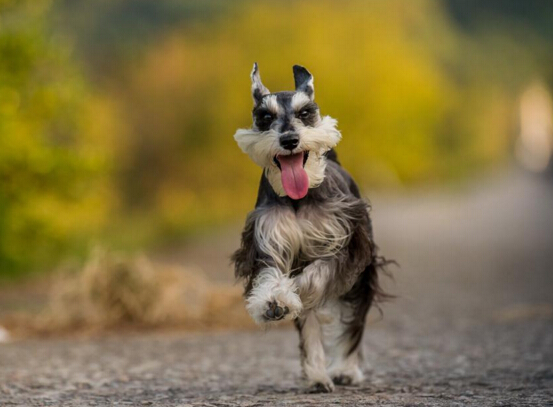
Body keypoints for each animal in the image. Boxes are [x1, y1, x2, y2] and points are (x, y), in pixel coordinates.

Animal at [231, 64, 386, 396]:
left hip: (362, 276)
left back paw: (344, 370)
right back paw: (317, 375)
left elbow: (317, 276)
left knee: (353, 323)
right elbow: (272, 276)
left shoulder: (346, 246)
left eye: (305, 112)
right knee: (311, 325)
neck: (298, 198)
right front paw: (273, 300)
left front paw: (293, 292)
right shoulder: (268, 239)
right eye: (265, 116)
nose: (290, 139)